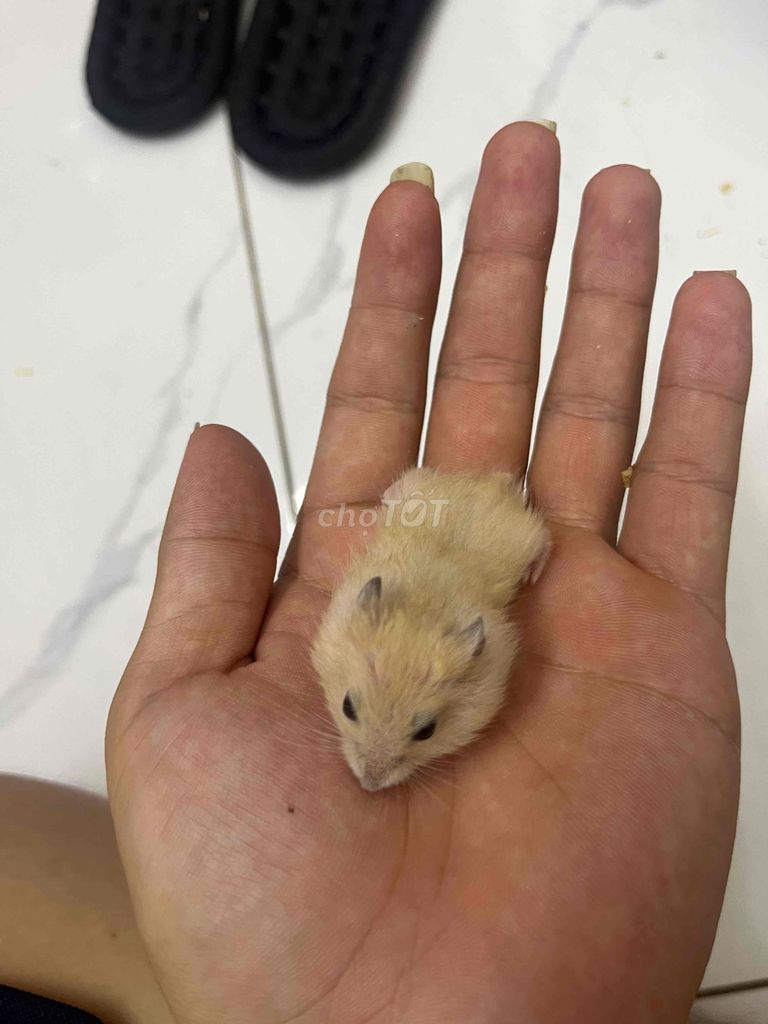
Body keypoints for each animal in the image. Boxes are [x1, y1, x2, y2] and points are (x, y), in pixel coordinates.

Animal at [310, 468, 550, 791]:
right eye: (347, 707)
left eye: (427, 731)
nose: (370, 785)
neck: (424, 608)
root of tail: (489, 482)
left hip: (527, 535)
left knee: (546, 538)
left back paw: (533, 574)